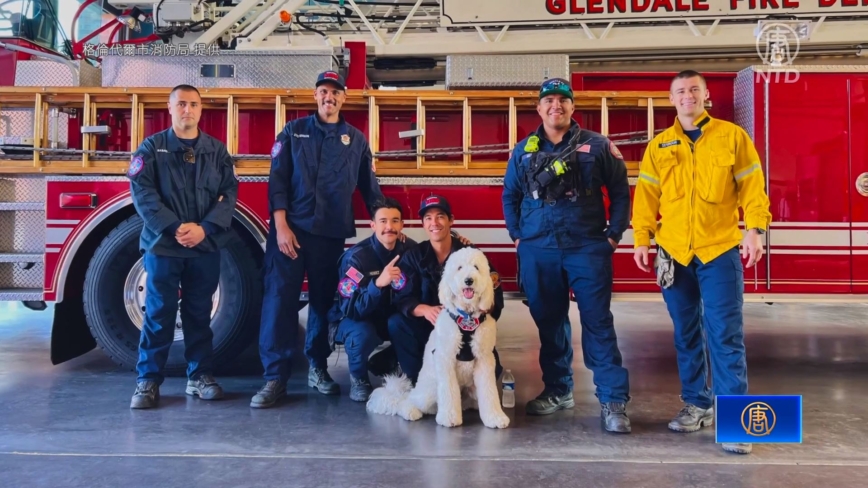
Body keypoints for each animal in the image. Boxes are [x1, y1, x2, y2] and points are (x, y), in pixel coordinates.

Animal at [366, 248, 508, 428]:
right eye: (459, 268)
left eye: (476, 267)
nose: (468, 280)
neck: (466, 316)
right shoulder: (445, 358)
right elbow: (448, 391)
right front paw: (449, 418)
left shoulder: (484, 359)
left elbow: (489, 392)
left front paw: (495, 417)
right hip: (430, 387)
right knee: (409, 401)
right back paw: (410, 411)